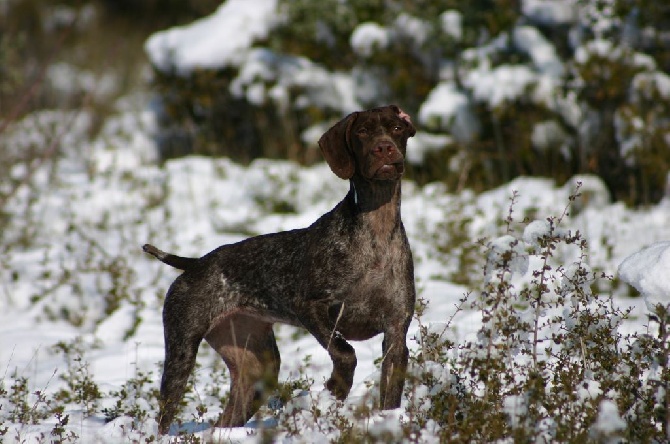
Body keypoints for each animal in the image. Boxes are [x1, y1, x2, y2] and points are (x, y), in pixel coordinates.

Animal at [144, 105, 418, 434]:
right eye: (363, 132)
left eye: (396, 129)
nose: (384, 148)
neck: (376, 230)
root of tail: (195, 263)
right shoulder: (309, 307)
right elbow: (345, 352)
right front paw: (334, 389)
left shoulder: (396, 336)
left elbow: (389, 395)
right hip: (181, 354)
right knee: (164, 417)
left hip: (256, 369)